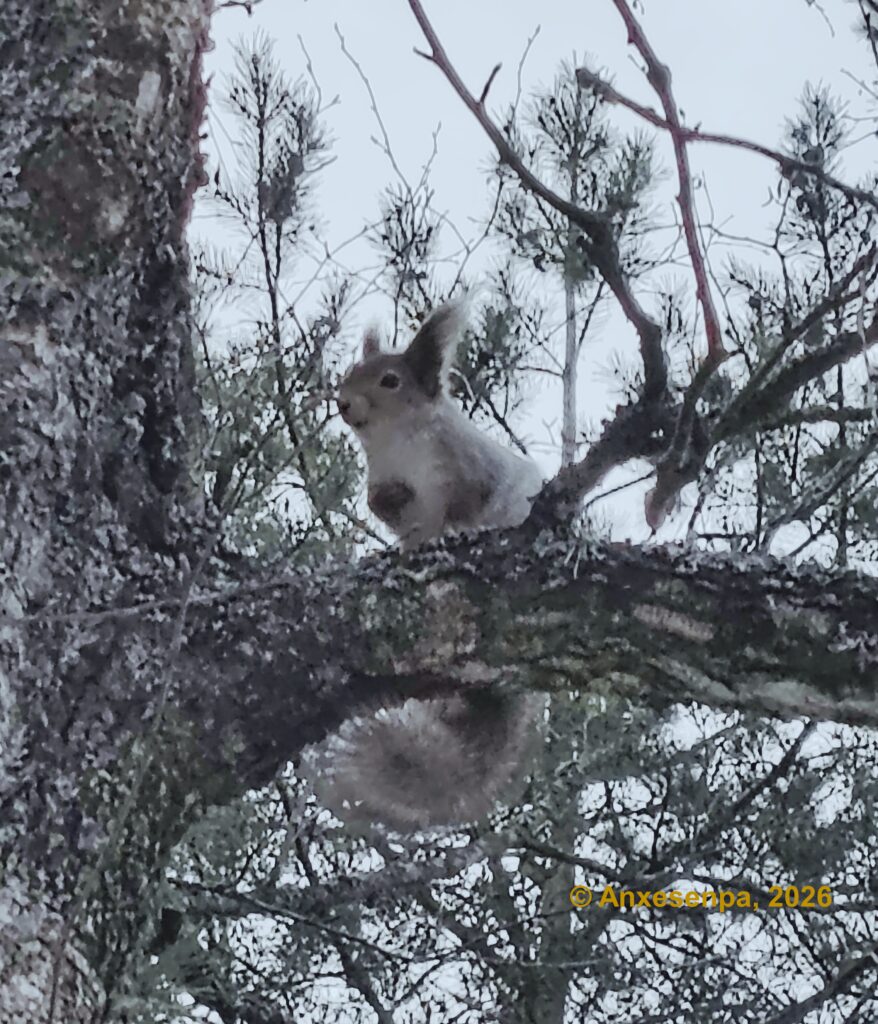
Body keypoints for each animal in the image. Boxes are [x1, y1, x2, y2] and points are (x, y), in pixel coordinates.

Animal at [304, 298, 544, 830]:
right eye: (350, 372)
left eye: (390, 380)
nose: (343, 403)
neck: (397, 443)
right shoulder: (388, 484)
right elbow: (386, 509)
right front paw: (388, 504)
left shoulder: (466, 468)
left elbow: (464, 505)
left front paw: (455, 530)